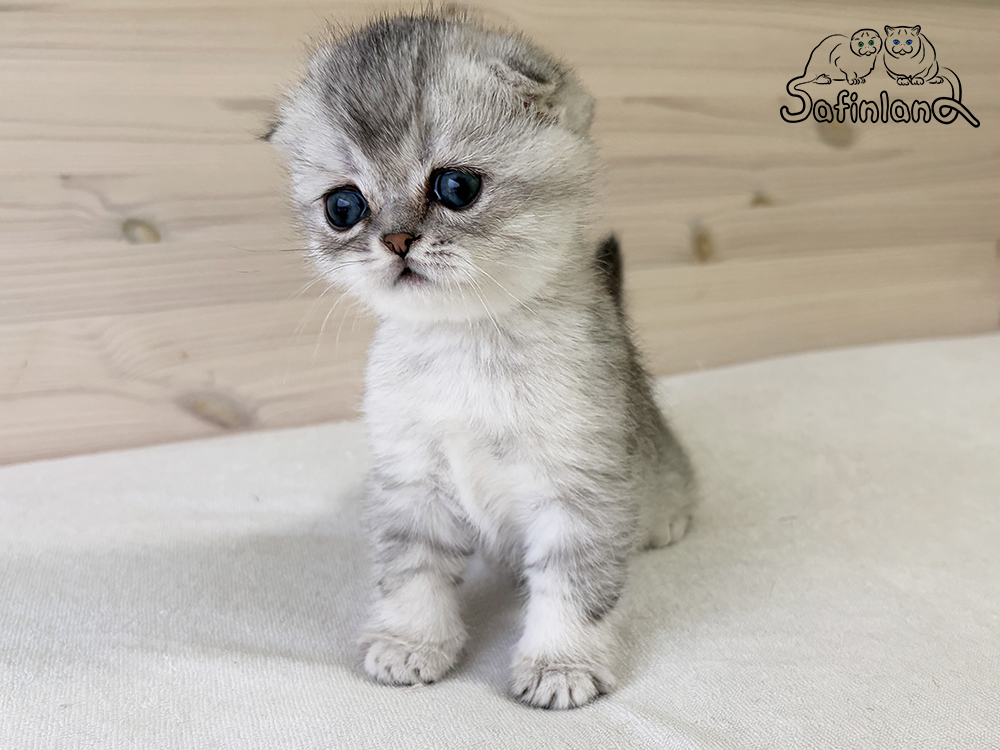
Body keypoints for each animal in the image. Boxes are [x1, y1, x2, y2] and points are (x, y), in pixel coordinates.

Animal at [266, 10, 697, 709]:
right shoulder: (410, 477)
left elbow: (571, 584)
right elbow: (411, 570)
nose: (396, 239)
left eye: (456, 186)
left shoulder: (578, 485)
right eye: (343, 207)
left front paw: (560, 664)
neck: (465, 344)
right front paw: (412, 642)